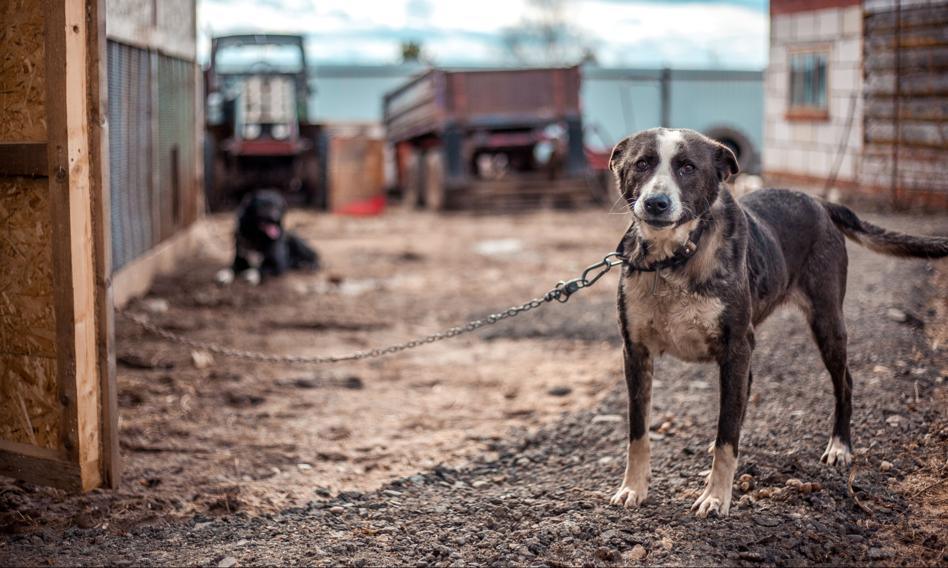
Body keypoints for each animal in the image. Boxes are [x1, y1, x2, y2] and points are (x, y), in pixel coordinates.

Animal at [608, 129, 948, 520]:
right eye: (642, 164)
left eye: (688, 167)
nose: (656, 203)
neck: (673, 260)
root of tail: (819, 202)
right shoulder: (636, 351)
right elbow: (638, 431)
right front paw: (634, 487)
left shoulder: (736, 347)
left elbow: (727, 435)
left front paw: (716, 495)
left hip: (826, 322)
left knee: (844, 382)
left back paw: (840, 446)